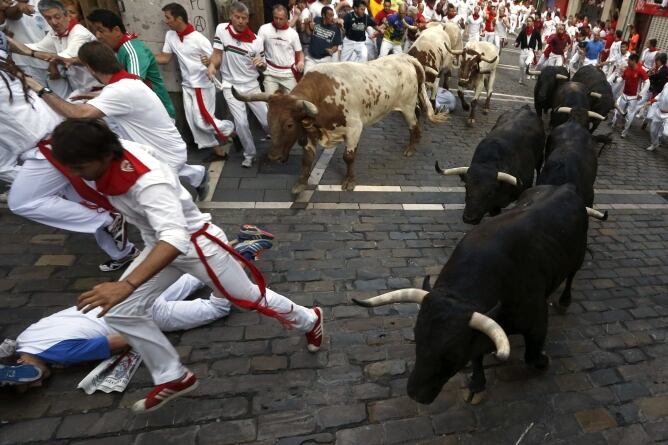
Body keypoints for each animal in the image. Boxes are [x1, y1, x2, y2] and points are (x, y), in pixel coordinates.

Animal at [232, 53, 446, 192]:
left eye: (289, 125)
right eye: (268, 120)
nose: (274, 157)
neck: (323, 94)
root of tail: (406, 57)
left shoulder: (354, 128)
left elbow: (348, 157)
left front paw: (349, 181)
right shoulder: (310, 131)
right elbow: (306, 159)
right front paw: (301, 183)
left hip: (407, 106)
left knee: (414, 127)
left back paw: (411, 149)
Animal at [352, 182, 588, 404]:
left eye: (452, 353)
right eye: (417, 338)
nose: (415, 394)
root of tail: (565, 186)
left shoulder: (537, 321)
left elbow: (531, 355)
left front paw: (543, 361)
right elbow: (476, 356)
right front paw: (477, 385)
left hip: (578, 258)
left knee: (571, 277)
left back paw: (564, 302)